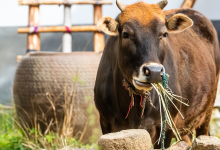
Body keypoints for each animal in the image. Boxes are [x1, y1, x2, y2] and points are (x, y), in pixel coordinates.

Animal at [93, 0, 220, 148]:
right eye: (126, 34)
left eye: (164, 34)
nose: (153, 72)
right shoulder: (106, 124)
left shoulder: (166, 127)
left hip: (207, 112)